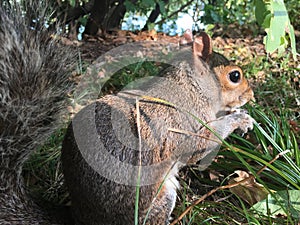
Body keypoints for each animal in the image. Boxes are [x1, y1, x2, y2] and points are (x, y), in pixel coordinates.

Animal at [61, 29, 255, 223]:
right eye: (235, 76)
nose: (251, 94)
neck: (193, 88)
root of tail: (84, 216)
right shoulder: (188, 124)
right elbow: (202, 144)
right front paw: (240, 119)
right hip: (161, 197)